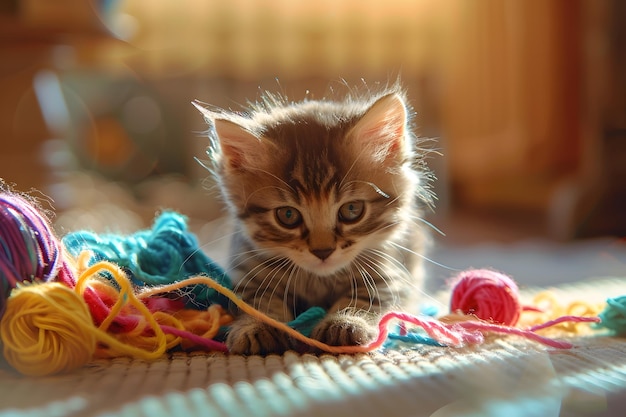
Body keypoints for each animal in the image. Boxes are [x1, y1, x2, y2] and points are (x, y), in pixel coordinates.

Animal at [193, 85, 432, 354]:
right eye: (287, 215)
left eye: (352, 210)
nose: (323, 251)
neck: (318, 280)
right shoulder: (250, 270)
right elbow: (257, 302)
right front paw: (256, 325)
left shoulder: (389, 274)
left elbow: (367, 299)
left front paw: (347, 322)